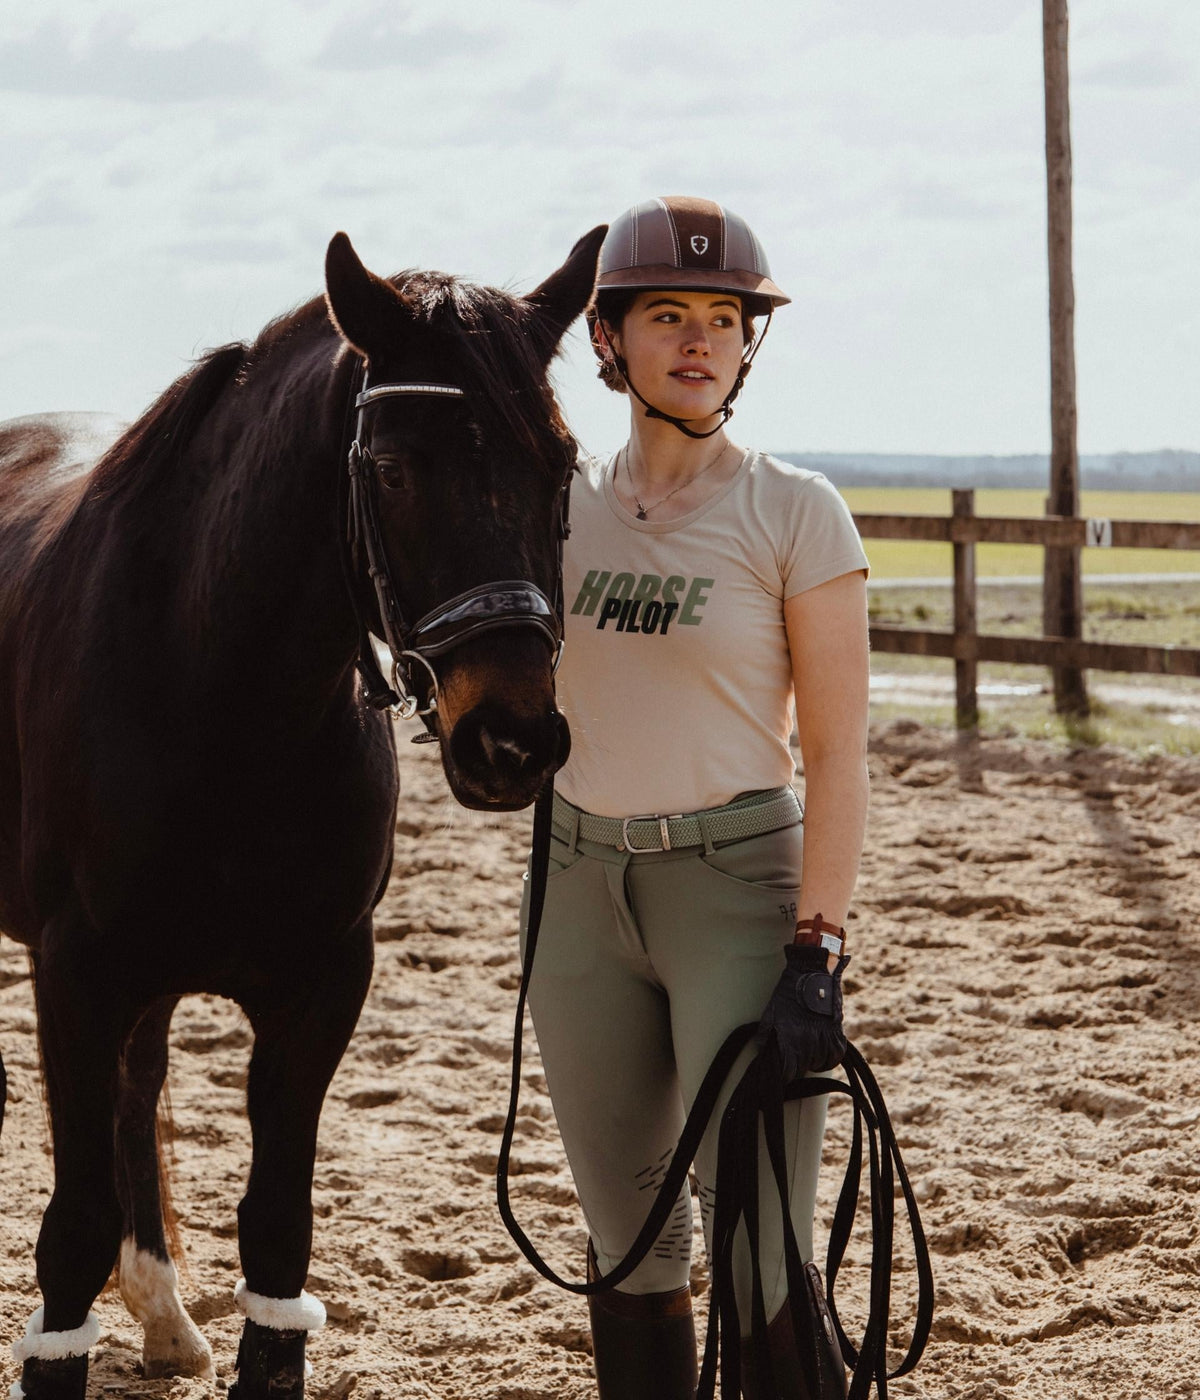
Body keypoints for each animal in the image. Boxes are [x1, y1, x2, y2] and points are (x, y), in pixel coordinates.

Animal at [0, 223, 606, 1400]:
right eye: (393, 468)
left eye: (560, 466)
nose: (513, 740)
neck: (217, 693)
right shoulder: (76, 975)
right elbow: (72, 1230)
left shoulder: (322, 983)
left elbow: (277, 1231)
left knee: (139, 1090)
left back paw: (163, 1312)